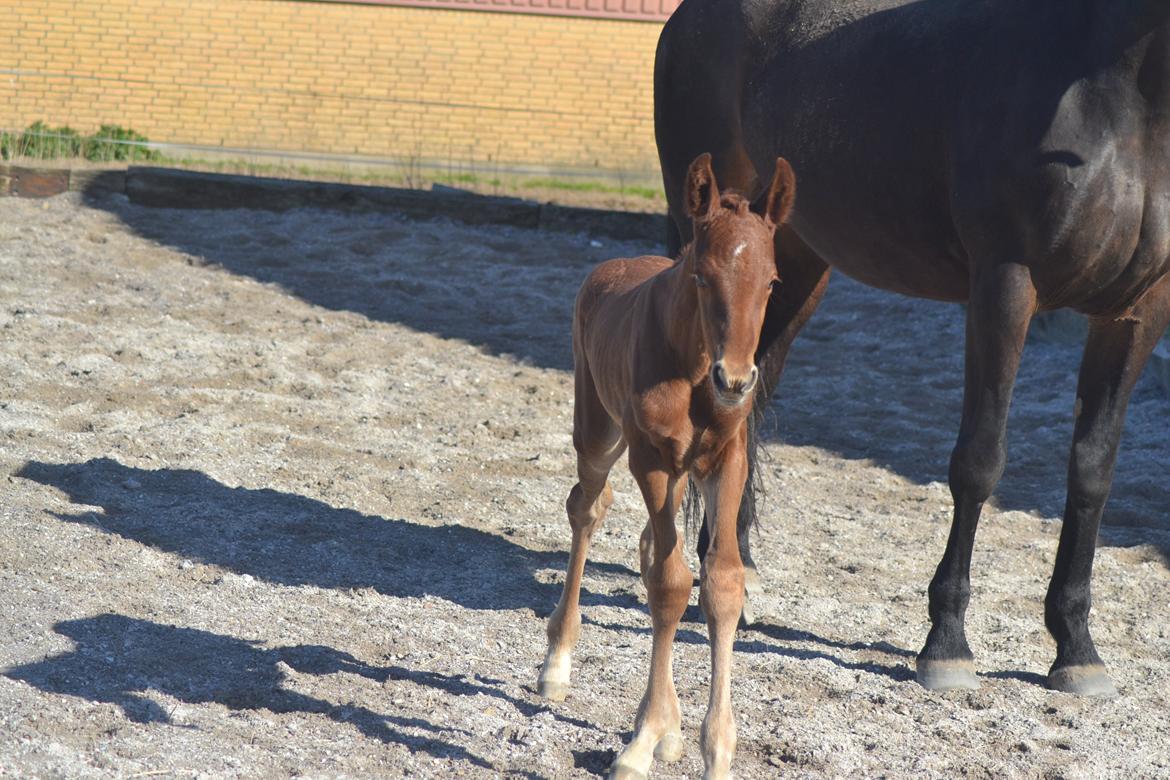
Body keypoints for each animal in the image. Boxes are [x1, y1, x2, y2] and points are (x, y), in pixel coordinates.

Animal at [535, 154, 795, 780]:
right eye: (701, 275)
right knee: (588, 508)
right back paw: (557, 662)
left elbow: (720, 583)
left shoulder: (727, 460)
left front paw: (713, 747)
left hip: (680, 473)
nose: (736, 380)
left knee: (651, 542)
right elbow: (671, 585)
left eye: (772, 281)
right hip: (599, 434)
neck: (694, 365)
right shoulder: (651, 459)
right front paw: (643, 737)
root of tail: (615, 265)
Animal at [655, 0, 1170, 696]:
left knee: (748, 401)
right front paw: (946, 643)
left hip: (790, 262)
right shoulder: (1004, 286)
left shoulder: (1136, 311)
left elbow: (1093, 470)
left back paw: (735, 566)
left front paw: (1077, 649)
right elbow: (980, 461)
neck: (1120, 93)